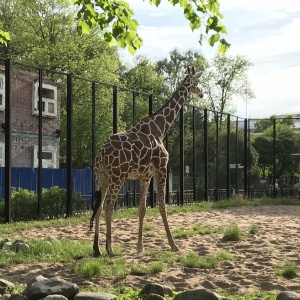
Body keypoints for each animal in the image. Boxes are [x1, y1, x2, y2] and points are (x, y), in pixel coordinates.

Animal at [90, 69, 205, 256]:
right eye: (197, 82)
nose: (202, 92)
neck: (160, 128)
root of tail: (101, 154)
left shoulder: (145, 176)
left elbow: (142, 209)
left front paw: (140, 247)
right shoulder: (161, 169)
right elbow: (162, 206)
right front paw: (173, 245)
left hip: (102, 178)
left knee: (98, 206)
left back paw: (97, 250)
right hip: (117, 177)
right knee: (108, 206)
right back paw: (110, 249)